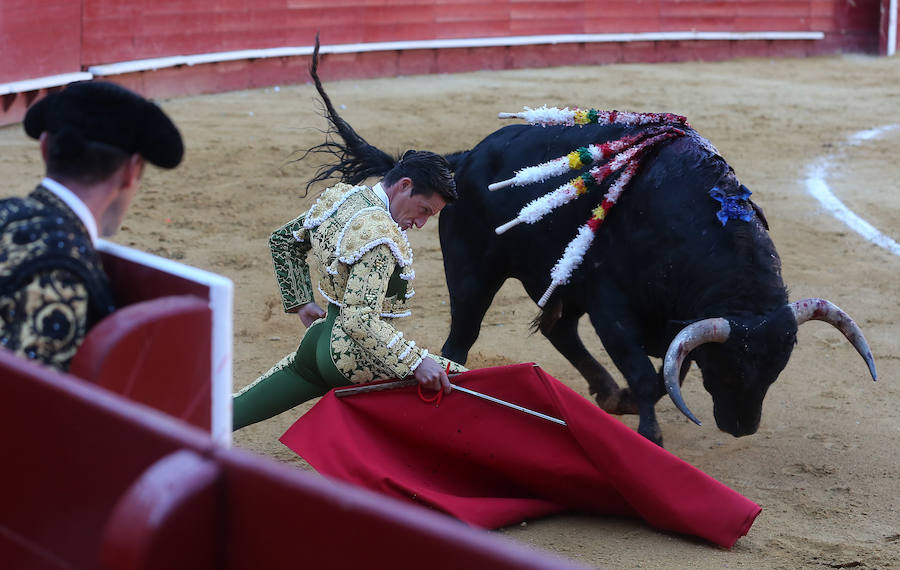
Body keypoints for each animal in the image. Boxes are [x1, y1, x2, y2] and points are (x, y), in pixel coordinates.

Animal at [306, 56, 876, 444]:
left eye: (777, 367)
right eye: (728, 366)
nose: (741, 427)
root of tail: (463, 157)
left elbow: (665, 372)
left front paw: (621, 402)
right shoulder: (611, 304)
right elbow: (647, 374)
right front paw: (648, 435)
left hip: (558, 277)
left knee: (558, 329)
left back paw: (604, 392)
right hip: (473, 274)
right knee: (460, 340)